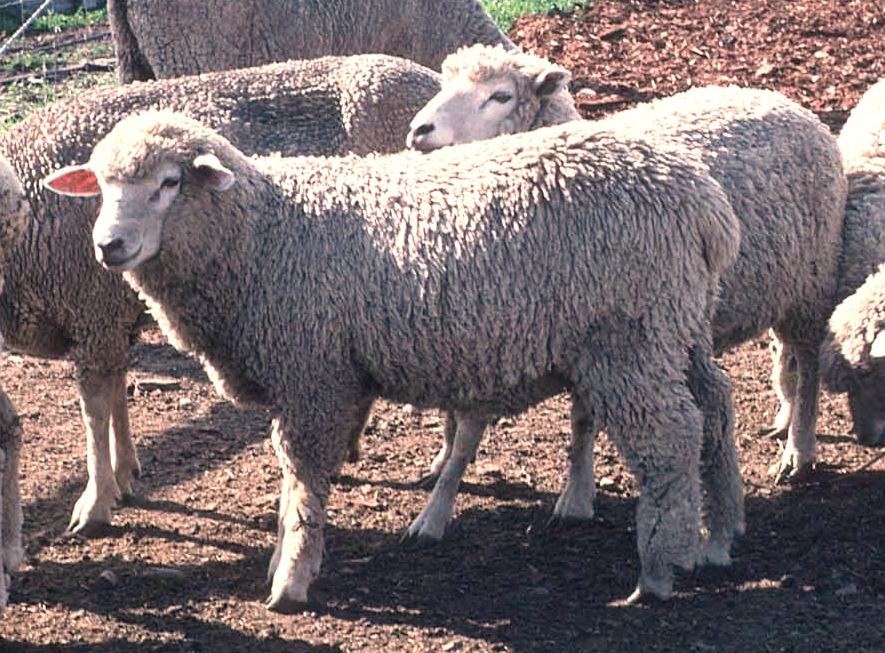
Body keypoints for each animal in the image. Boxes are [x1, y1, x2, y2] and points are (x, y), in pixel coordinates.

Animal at [0, 54, 441, 536]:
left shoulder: (93, 310)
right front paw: (124, 473)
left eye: (169, 184)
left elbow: (95, 411)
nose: (107, 245)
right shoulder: (110, 314)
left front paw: (95, 502)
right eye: (97, 184)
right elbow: (117, 393)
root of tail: (430, 78)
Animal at [45, 110, 741, 609]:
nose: (109, 246)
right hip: (677, 327)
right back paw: (716, 536)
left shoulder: (314, 373)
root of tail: (704, 202)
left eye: (168, 184)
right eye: (100, 186)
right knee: (716, 405)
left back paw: (660, 567)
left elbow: (301, 476)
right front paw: (283, 556)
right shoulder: (305, 376)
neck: (263, 233)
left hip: (629, 340)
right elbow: (289, 480)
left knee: (673, 439)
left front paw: (291, 577)